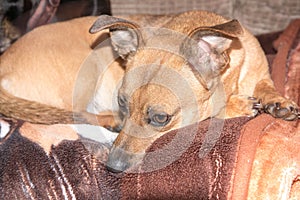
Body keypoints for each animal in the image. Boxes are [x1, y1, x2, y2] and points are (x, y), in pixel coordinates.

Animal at [0, 10, 298, 172]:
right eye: (122, 103)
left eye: (160, 118)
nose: (112, 167)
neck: (233, 76)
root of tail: (3, 64)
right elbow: (216, 108)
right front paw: (238, 105)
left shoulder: (259, 74)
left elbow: (267, 86)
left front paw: (277, 102)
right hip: (86, 68)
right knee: (74, 116)